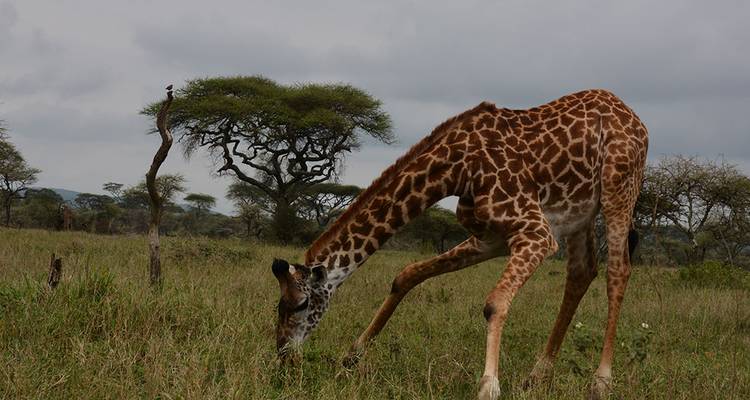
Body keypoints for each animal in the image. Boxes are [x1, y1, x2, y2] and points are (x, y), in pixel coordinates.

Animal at [272, 89, 648, 400]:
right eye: (279, 306)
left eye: (301, 304)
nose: (283, 356)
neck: (457, 169)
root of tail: (634, 117)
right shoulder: (491, 238)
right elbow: (407, 275)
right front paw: (352, 355)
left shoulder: (536, 233)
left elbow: (494, 303)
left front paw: (489, 386)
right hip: (579, 213)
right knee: (582, 272)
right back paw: (537, 376)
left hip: (619, 188)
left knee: (617, 272)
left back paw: (600, 382)